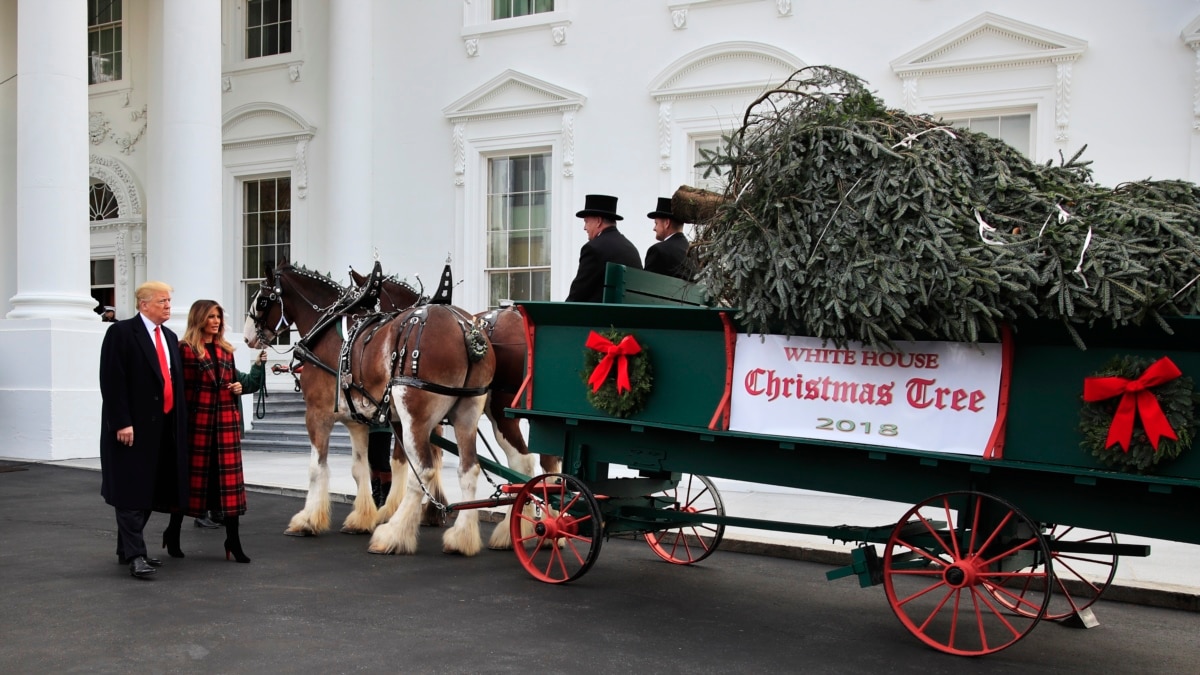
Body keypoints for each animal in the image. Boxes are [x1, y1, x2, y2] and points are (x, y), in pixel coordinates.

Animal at [246, 261, 494, 552]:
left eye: (262, 299)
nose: (248, 337)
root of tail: (465, 328)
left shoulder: (318, 413)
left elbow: (318, 468)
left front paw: (307, 520)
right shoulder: (357, 420)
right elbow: (360, 467)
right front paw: (362, 517)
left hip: (416, 417)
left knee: (423, 470)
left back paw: (394, 533)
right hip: (466, 413)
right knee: (468, 468)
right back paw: (461, 536)